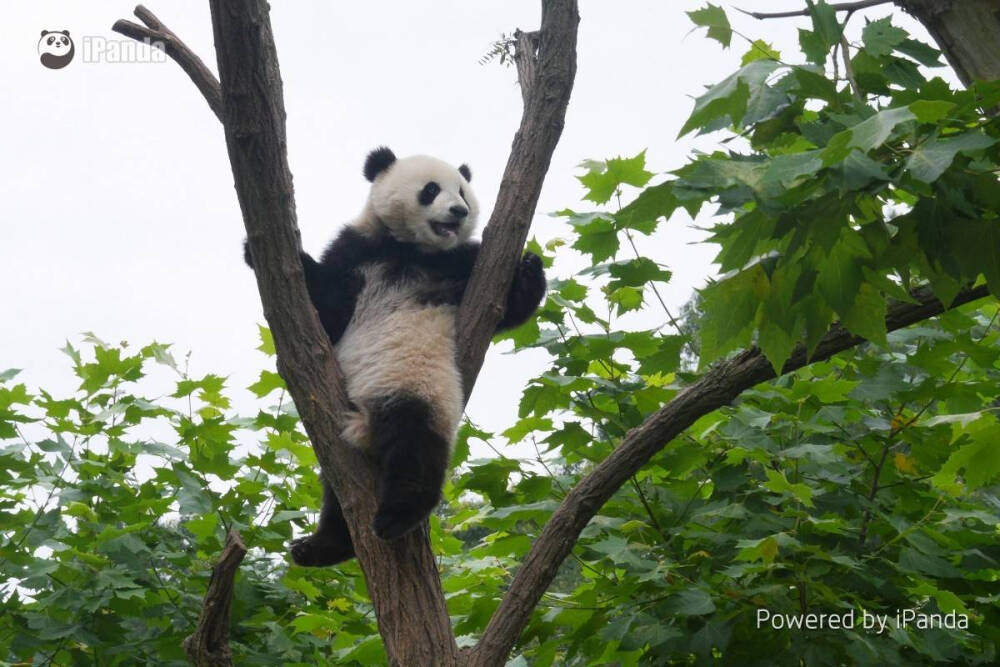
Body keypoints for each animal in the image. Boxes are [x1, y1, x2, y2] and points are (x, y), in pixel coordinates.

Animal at [249, 149, 548, 568]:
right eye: (431, 190)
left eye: (462, 191)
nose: (458, 211)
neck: (409, 250)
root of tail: (367, 424)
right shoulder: (355, 251)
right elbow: (326, 311)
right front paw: (257, 253)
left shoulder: (465, 267)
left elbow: (510, 309)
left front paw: (530, 267)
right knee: (336, 486)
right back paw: (323, 546)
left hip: (419, 387)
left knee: (415, 445)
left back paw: (395, 516)